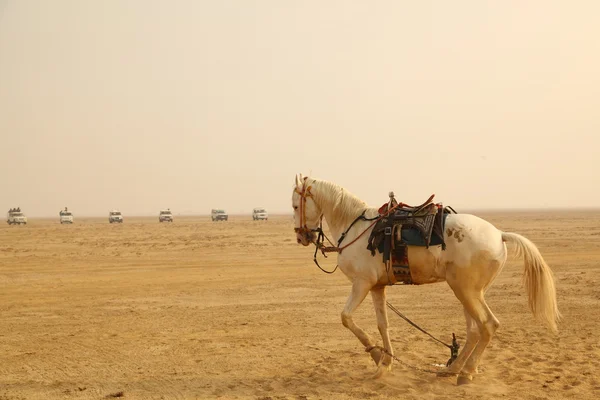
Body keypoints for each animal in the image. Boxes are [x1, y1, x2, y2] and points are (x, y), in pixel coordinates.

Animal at [292, 174, 560, 384]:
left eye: (295, 206)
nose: (301, 237)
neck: (355, 229)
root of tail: (500, 235)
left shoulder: (362, 284)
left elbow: (346, 318)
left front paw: (376, 355)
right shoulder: (377, 287)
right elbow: (383, 324)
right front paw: (384, 364)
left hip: (466, 291)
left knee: (488, 325)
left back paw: (466, 373)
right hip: (470, 291)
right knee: (474, 330)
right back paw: (453, 369)